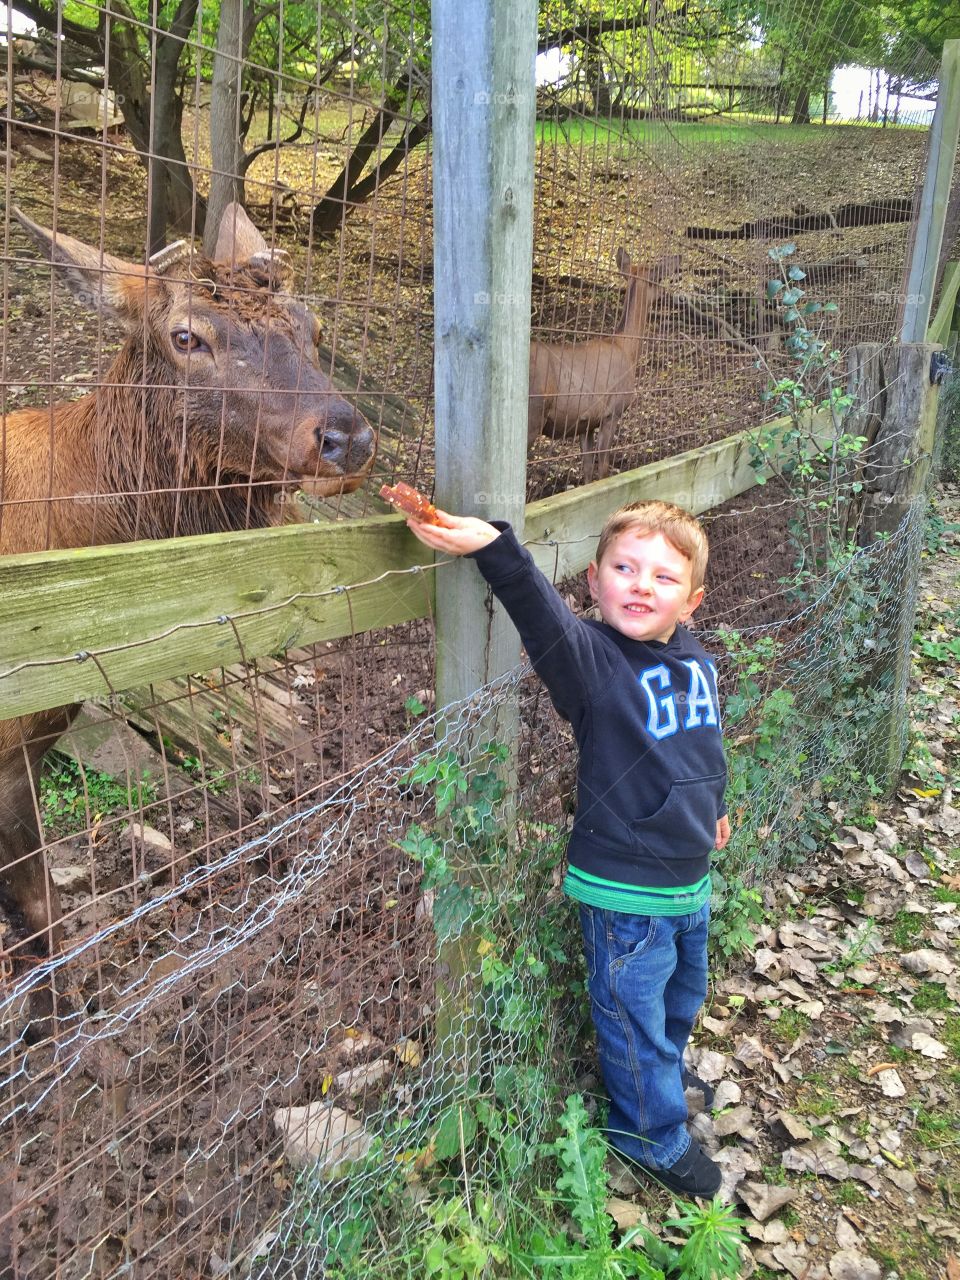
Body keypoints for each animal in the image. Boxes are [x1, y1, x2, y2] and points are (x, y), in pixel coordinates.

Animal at [529, 247, 680, 481]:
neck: (626, 349)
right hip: (533, 414)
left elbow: (587, 468)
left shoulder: (586, 422)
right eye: (658, 278)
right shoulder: (612, 412)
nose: (668, 295)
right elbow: (604, 468)